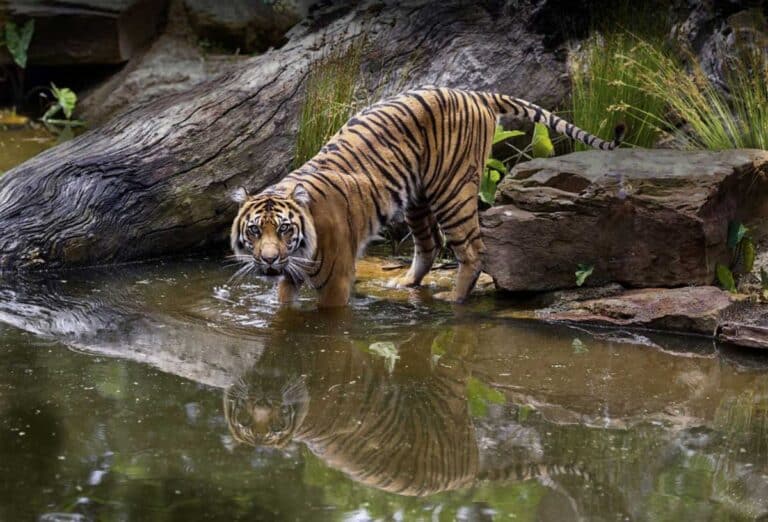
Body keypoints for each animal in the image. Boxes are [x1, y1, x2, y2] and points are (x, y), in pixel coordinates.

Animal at [230, 86, 624, 307]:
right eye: (254, 231)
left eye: (284, 229)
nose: (268, 260)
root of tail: (475, 94)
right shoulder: (289, 276)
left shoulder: (337, 279)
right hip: (416, 198)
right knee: (430, 243)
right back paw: (405, 283)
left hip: (453, 192)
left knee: (473, 250)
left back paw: (456, 300)